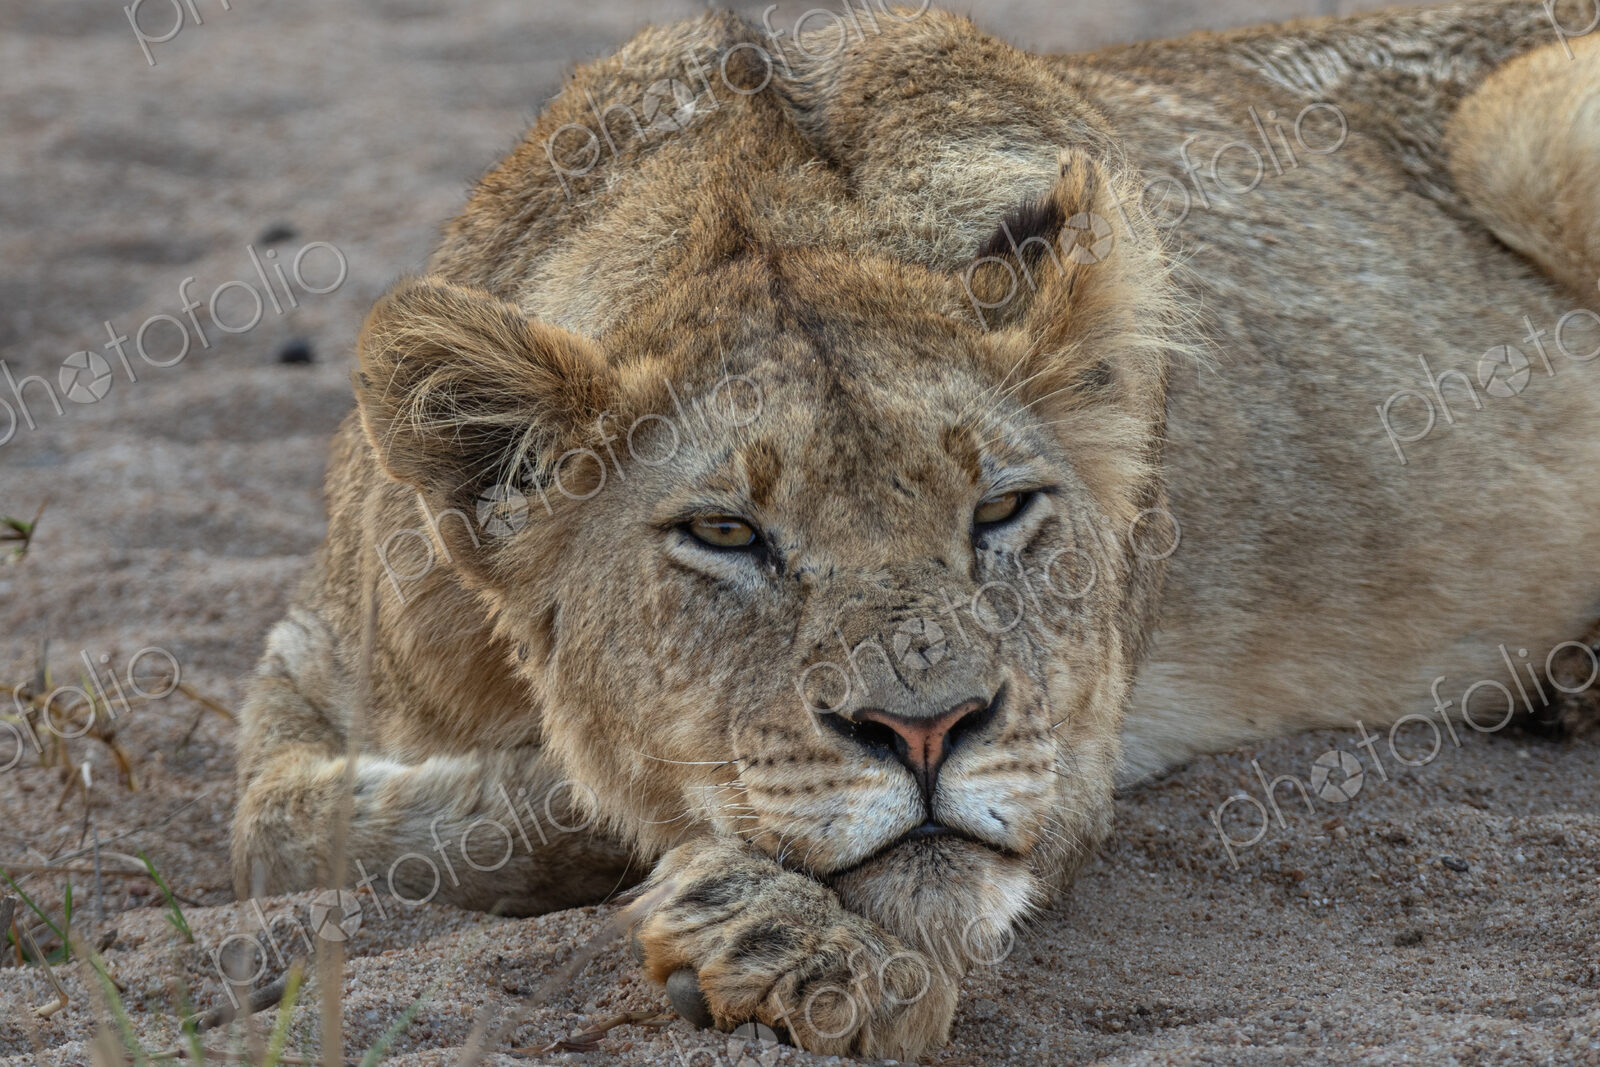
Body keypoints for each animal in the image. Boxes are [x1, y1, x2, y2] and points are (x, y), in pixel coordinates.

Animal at [230, 1, 1600, 1057]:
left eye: (998, 509)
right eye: (723, 532)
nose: (928, 731)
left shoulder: (1077, 731)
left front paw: (791, 943)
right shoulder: (311, 659)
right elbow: (303, 835)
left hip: (1525, 116)